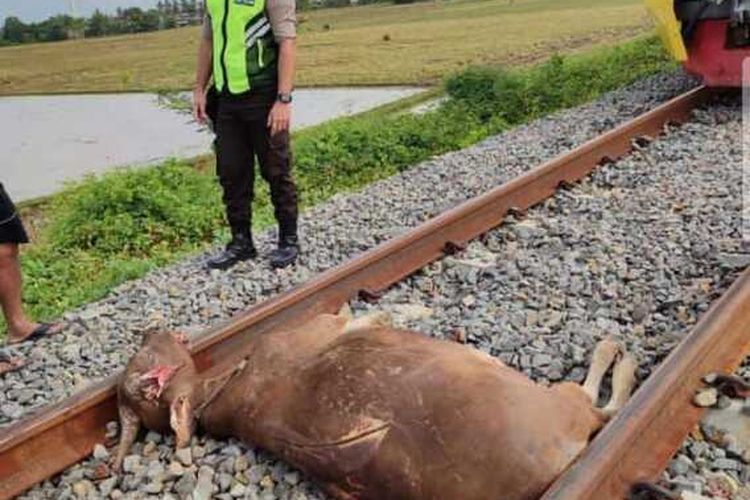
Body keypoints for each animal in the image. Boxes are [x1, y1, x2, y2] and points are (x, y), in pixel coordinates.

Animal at [114, 306, 636, 498]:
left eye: (138, 357)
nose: (145, 329)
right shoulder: (312, 326)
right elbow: (354, 316)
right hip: (558, 405)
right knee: (597, 402)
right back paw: (617, 351)